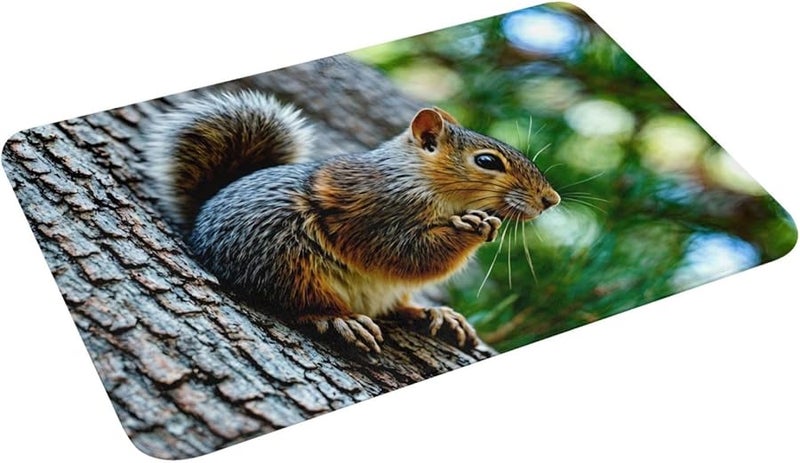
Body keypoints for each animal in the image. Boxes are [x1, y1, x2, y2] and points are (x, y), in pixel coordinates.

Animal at [144, 90, 560, 353]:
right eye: (487, 161)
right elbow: (406, 253)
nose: (551, 200)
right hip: (282, 258)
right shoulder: (372, 213)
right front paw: (474, 225)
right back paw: (339, 320)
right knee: (301, 301)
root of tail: (201, 220)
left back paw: (434, 314)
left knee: (395, 306)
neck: (415, 177)